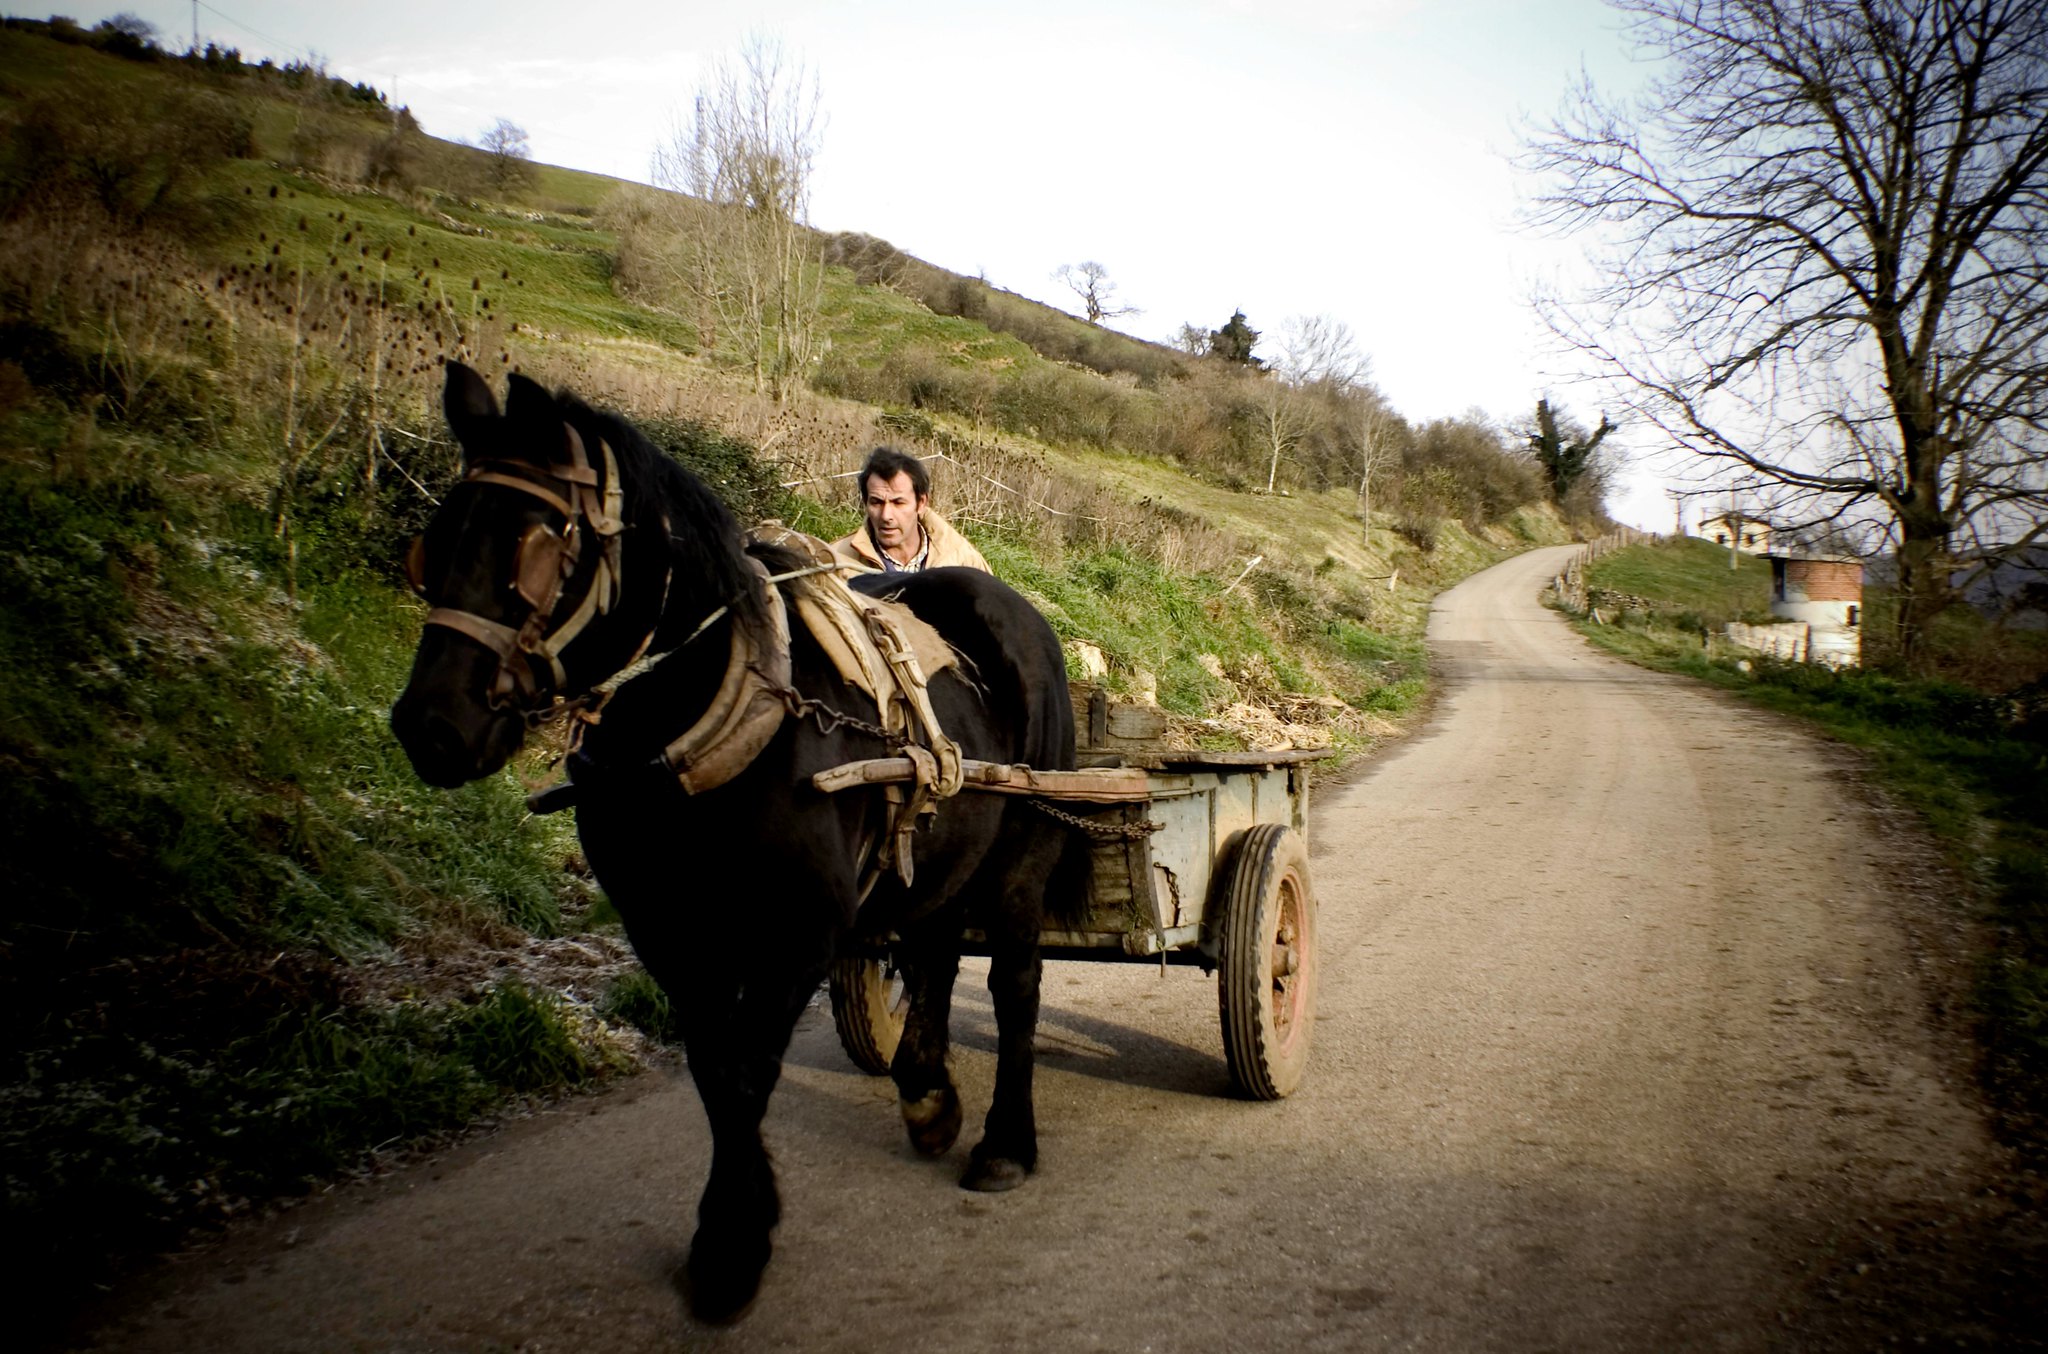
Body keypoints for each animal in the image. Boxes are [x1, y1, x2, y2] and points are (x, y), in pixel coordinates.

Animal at [387, 366, 1089, 1319]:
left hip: (1023, 854)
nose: (432, 725)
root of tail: (1019, 611)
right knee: (936, 950)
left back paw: (1005, 1141)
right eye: (440, 536)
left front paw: (731, 1246)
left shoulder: (799, 931)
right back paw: (926, 1094)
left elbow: (750, 1071)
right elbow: (716, 1075)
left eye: (542, 542)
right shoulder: (669, 931)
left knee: (1014, 985)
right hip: (943, 849)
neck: (714, 717)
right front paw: (734, 1226)